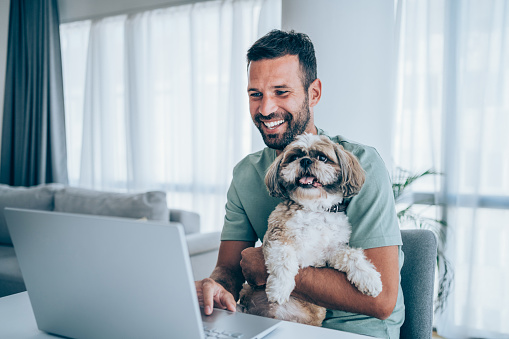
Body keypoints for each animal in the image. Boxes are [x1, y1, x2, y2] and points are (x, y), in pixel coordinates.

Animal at [238, 133, 380, 326]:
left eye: (322, 157)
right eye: (294, 157)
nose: (305, 161)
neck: (315, 209)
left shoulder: (331, 251)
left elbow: (352, 256)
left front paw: (370, 279)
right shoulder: (278, 235)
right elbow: (284, 260)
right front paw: (279, 289)